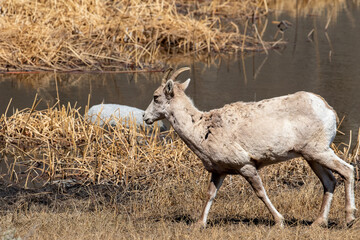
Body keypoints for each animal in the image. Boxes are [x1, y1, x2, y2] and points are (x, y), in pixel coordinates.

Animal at [142, 67, 356, 227]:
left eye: (156, 97)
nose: (145, 117)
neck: (201, 129)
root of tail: (328, 109)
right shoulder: (219, 171)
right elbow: (210, 194)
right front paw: (199, 224)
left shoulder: (245, 165)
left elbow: (260, 192)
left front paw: (279, 221)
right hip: (311, 156)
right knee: (329, 181)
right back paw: (318, 223)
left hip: (319, 151)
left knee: (348, 170)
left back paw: (349, 219)